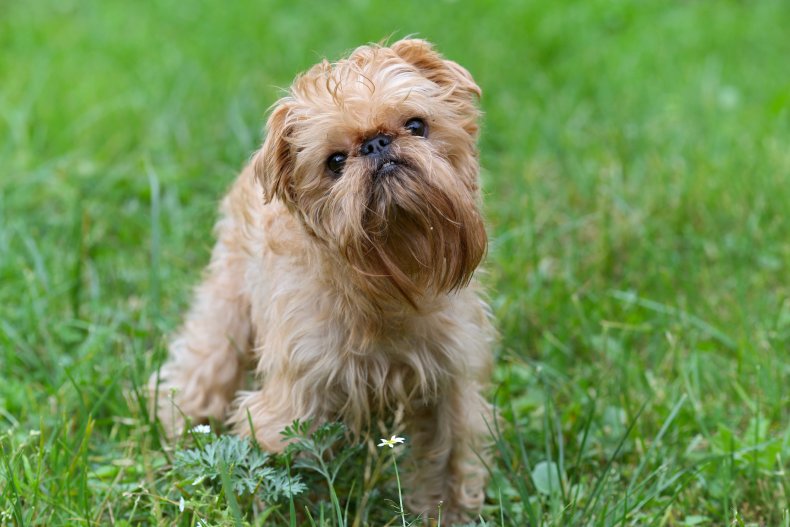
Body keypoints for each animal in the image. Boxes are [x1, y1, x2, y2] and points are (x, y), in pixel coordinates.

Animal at [149, 39, 496, 520]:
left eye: (416, 125)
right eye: (334, 162)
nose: (376, 143)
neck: (388, 279)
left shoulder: (450, 384)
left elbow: (448, 463)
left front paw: (448, 516)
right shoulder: (296, 398)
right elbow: (283, 467)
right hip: (226, 304)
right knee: (201, 367)